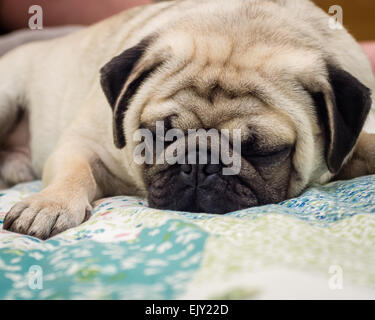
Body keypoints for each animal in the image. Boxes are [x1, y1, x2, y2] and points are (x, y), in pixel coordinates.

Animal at [0, 0, 375, 239]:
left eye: (265, 152)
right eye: (157, 136)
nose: (199, 163)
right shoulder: (84, 144)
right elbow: (74, 173)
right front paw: (49, 204)